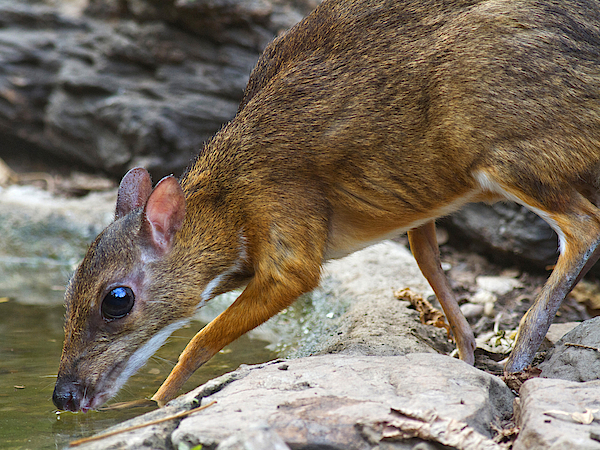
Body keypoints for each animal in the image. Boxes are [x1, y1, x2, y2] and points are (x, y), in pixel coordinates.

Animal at [51, 0, 600, 412]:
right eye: (69, 289)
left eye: (116, 300)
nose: (62, 396)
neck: (232, 202)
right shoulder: (419, 204)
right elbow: (429, 261)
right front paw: (464, 357)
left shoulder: (290, 238)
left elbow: (199, 340)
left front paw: (156, 404)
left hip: (509, 153)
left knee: (585, 227)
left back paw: (520, 357)